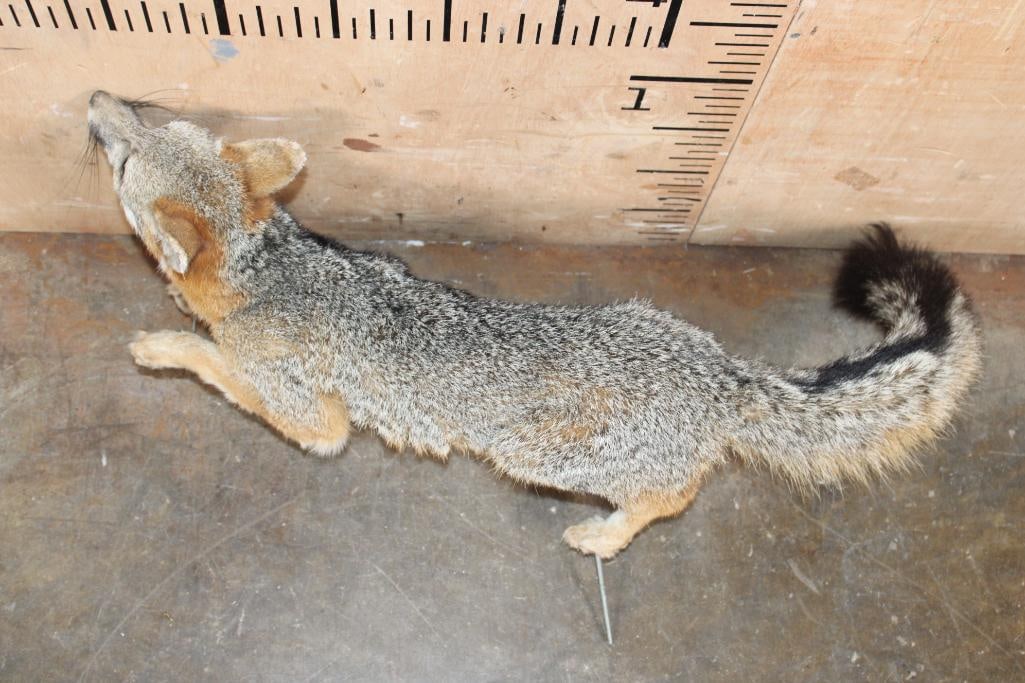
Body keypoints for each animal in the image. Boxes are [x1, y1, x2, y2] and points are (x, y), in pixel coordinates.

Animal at [87, 90, 981, 559]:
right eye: (146, 119)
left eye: (123, 161)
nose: (97, 101)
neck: (268, 269)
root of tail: (719, 372)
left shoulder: (315, 420)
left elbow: (217, 364)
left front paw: (164, 344)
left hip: (536, 455)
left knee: (674, 492)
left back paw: (606, 535)